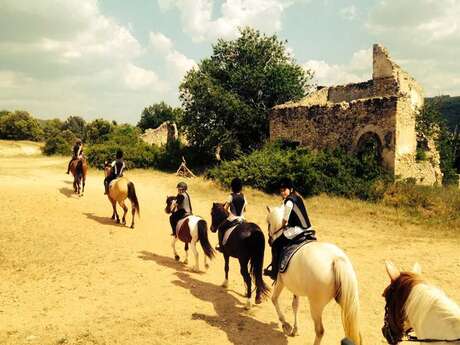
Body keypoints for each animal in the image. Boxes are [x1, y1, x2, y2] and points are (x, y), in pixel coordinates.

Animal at [266, 206, 362, 342]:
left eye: (268, 223)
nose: (269, 240)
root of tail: (336, 259)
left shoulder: (280, 281)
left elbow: (274, 299)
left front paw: (286, 325)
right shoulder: (296, 287)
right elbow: (295, 305)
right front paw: (295, 329)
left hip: (316, 306)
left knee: (319, 330)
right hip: (348, 303)